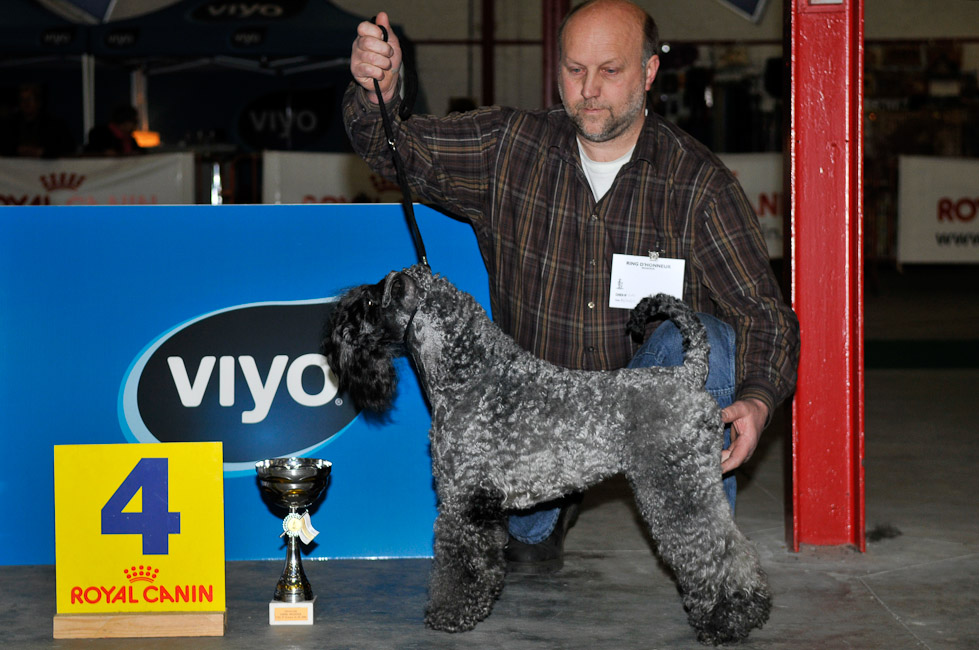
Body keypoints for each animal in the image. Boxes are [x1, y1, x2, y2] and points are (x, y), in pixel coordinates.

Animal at [322, 264, 772, 644]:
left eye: (369, 301)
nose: (334, 332)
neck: (469, 373)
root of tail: (689, 375)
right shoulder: (481, 501)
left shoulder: (462, 497)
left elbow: (458, 560)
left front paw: (449, 614)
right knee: (732, 547)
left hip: (677, 487)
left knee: (716, 549)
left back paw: (728, 618)